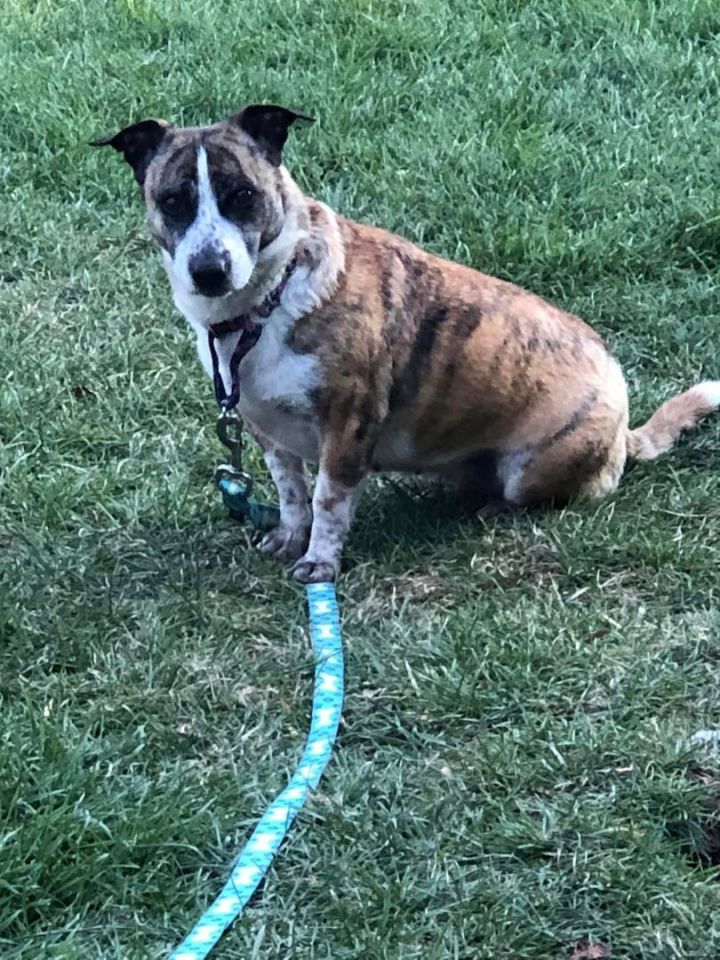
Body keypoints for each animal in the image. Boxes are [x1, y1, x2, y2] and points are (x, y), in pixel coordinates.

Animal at [91, 105, 720, 584]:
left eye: (242, 194)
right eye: (173, 200)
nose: (209, 271)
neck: (267, 303)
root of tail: (624, 433)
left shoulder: (347, 424)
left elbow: (327, 500)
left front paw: (320, 562)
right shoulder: (266, 428)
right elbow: (292, 492)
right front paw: (290, 537)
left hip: (541, 466)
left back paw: (498, 508)